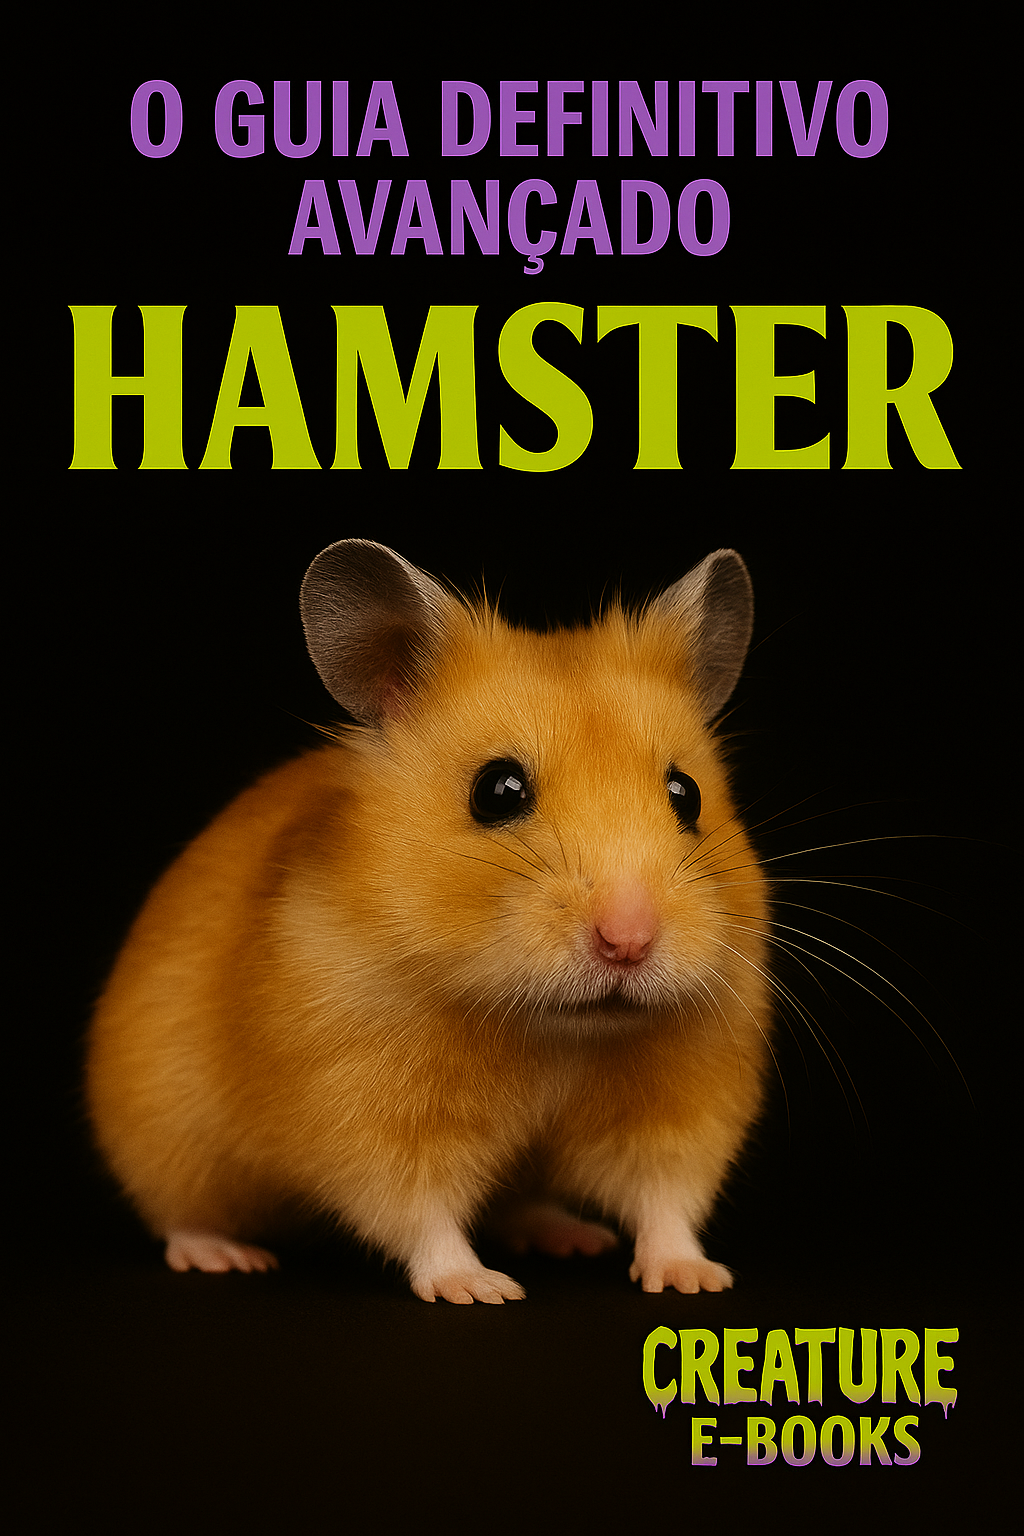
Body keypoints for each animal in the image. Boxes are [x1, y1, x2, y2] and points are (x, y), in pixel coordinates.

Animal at [86, 540, 770, 1303]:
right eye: (497, 791)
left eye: (687, 795)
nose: (629, 941)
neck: (555, 1030)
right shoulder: (371, 1115)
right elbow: (422, 1212)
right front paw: (482, 1290)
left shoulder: (681, 1107)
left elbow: (666, 1197)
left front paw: (697, 1280)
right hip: (166, 1141)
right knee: (182, 1214)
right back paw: (226, 1257)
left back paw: (571, 1235)